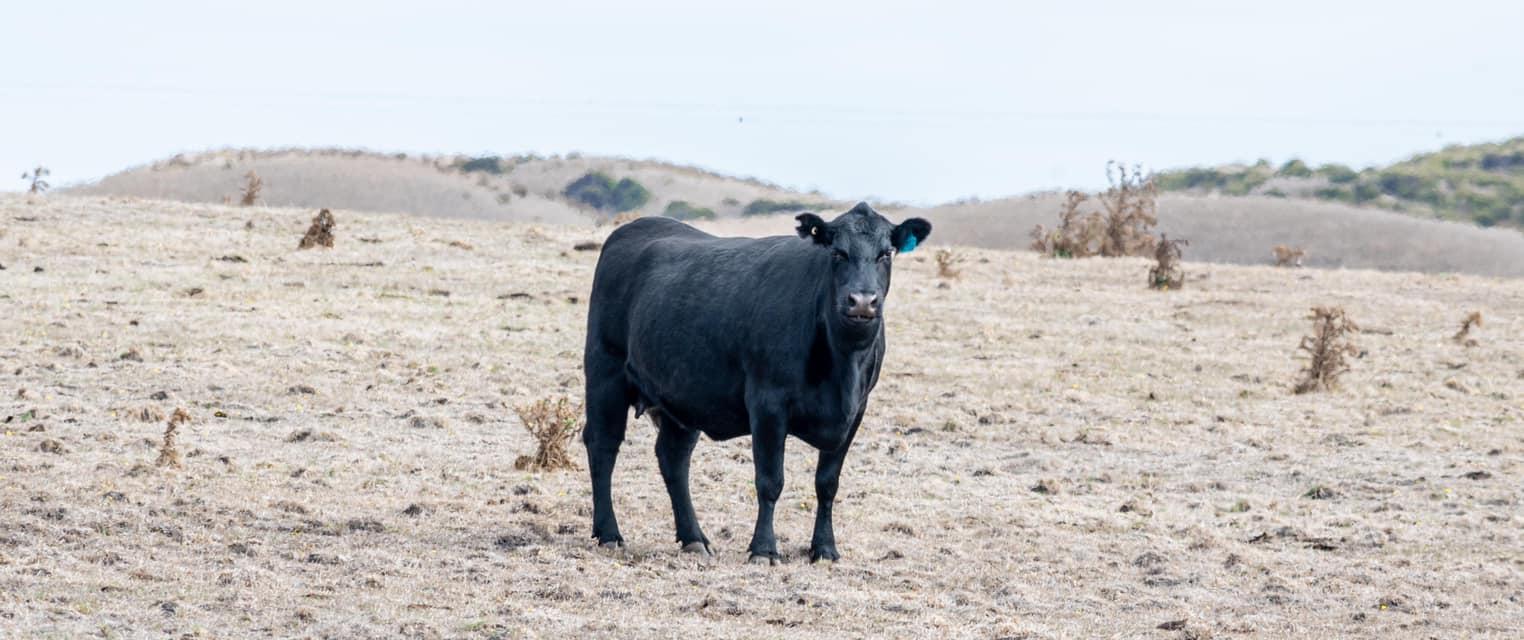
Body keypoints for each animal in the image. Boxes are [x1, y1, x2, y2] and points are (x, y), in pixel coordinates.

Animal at [582, 201, 931, 564]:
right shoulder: (768, 404)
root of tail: (634, 227)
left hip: (682, 396)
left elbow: (827, 483)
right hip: (605, 373)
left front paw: (825, 548)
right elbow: (770, 480)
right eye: (837, 252)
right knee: (603, 446)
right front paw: (764, 548)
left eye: (886, 253)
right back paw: (609, 533)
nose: (862, 301)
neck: (842, 363)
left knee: (673, 459)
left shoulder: (855, 412)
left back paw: (694, 538)